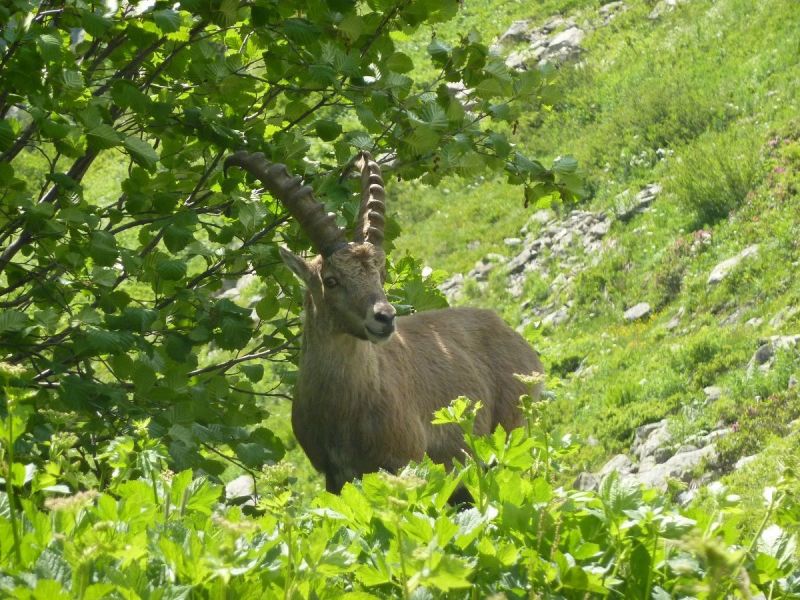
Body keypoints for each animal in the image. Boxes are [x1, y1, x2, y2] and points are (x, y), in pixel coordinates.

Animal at [228, 150, 548, 492]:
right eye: (331, 280)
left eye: (380, 275)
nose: (385, 317)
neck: (343, 409)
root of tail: (513, 337)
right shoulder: (333, 477)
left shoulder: (404, 465)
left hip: (510, 435)